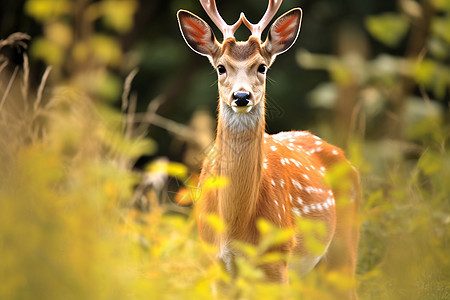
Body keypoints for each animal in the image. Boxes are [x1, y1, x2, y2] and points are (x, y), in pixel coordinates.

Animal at [178, 0, 360, 298]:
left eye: (261, 67)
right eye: (221, 67)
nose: (241, 96)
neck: (235, 227)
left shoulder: (277, 259)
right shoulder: (216, 263)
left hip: (343, 246)